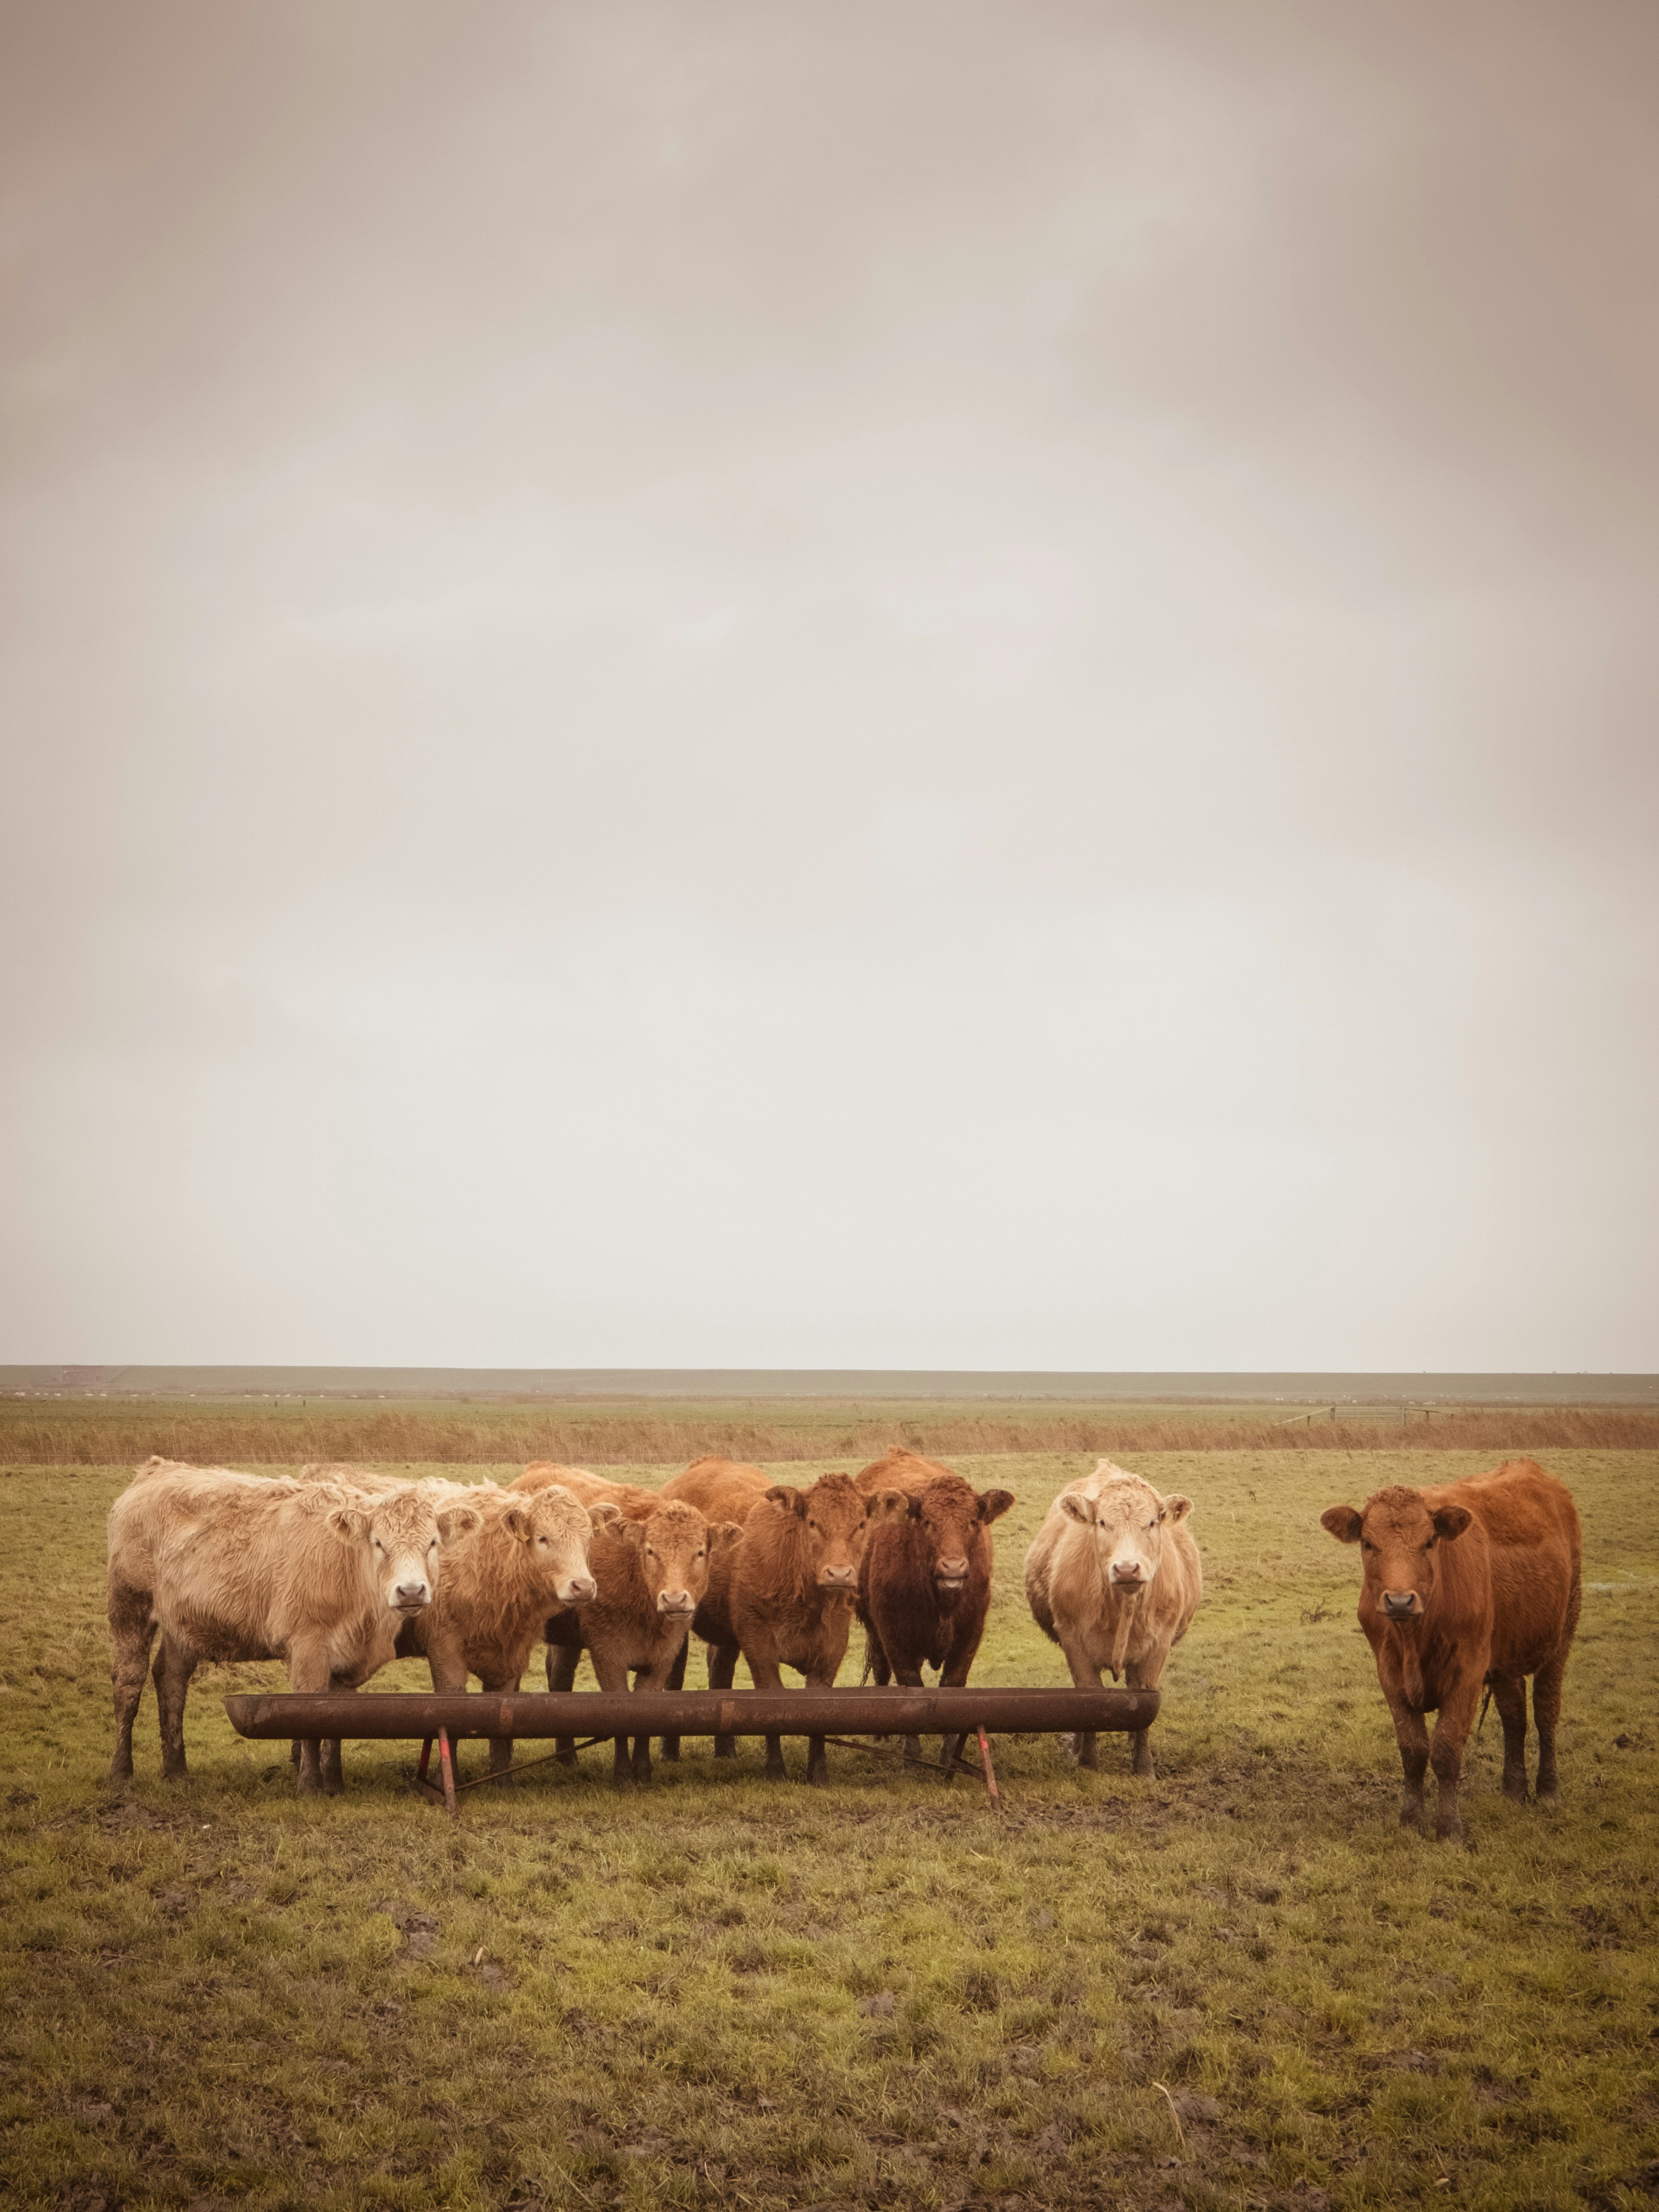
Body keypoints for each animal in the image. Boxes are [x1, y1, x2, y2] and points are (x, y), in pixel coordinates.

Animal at [107, 1468, 477, 1796]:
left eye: (432, 1542)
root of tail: (158, 1469)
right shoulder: (307, 1649)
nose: (411, 1591)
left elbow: (338, 1720)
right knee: (129, 1682)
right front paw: (310, 1786)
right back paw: (121, 1772)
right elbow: (310, 1718)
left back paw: (176, 1770)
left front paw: (334, 1783)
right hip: (130, 1606)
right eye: (378, 1543)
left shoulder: (348, 1661)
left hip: (182, 1626)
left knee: (171, 1680)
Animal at [546, 1495, 739, 1787]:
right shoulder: (607, 1656)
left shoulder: (662, 1660)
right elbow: (622, 1714)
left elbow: (646, 1713)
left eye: (700, 1552)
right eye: (650, 1551)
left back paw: (567, 1757)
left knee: (559, 1678)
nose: (674, 1600)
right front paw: (623, 1774)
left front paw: (644, 1771)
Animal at [849, 1451, 1021, 1761]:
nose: (953, 1567)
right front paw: (913, 1753)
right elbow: (910, 1683)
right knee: (881, 1670)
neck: (942, 1604)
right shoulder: (892, 1633)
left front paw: (948, 1752)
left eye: (972, 1522)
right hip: (875, 1630)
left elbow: (952, 1685)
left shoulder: (970, 1633)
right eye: (928, 1522)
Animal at [1021, 1468, 1203, 1778]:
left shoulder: (1158, 1645)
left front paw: (1144, 1767)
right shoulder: (1074, 1642)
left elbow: (1143, 1699)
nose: (1127, 1568)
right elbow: (1088, 1697)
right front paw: (1087, 1761)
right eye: (1103, 1522)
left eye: (1151, 1522)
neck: (1123, 1606)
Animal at [1327, 1460, 1583, 1840]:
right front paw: (1411, 1820)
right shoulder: (1389, 1674)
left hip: (1561, 1635)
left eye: (1429, 1542)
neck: (1414, 1636)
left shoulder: (1467, 1672)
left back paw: (1549, 1792)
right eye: (1368, 1543)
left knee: (1545, 1712)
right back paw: (1513, 1791)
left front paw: (1450, 1829)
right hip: (1505, 1655)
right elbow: (1413, 1750)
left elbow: (1446, 1750)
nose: (1400, 1601)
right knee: (1515, 1716)